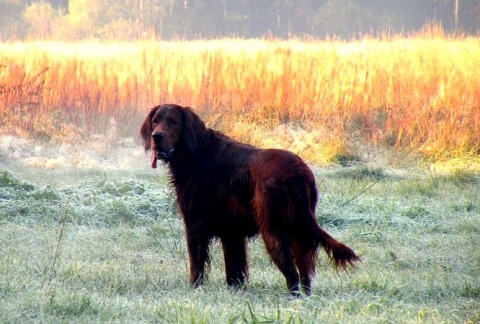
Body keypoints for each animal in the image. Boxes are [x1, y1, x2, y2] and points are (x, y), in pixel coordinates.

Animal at [141, 104, 358, 296]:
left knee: (292, 275)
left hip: (273, 230)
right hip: (299, 232)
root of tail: (296, 172)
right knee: (305, 275)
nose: (156, 137)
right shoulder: (231, 233)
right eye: (155, 121)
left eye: (174, 122)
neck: (195, 152)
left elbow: (197, 267)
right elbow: (234, 271)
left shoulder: (195, 226)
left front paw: (195, 290)